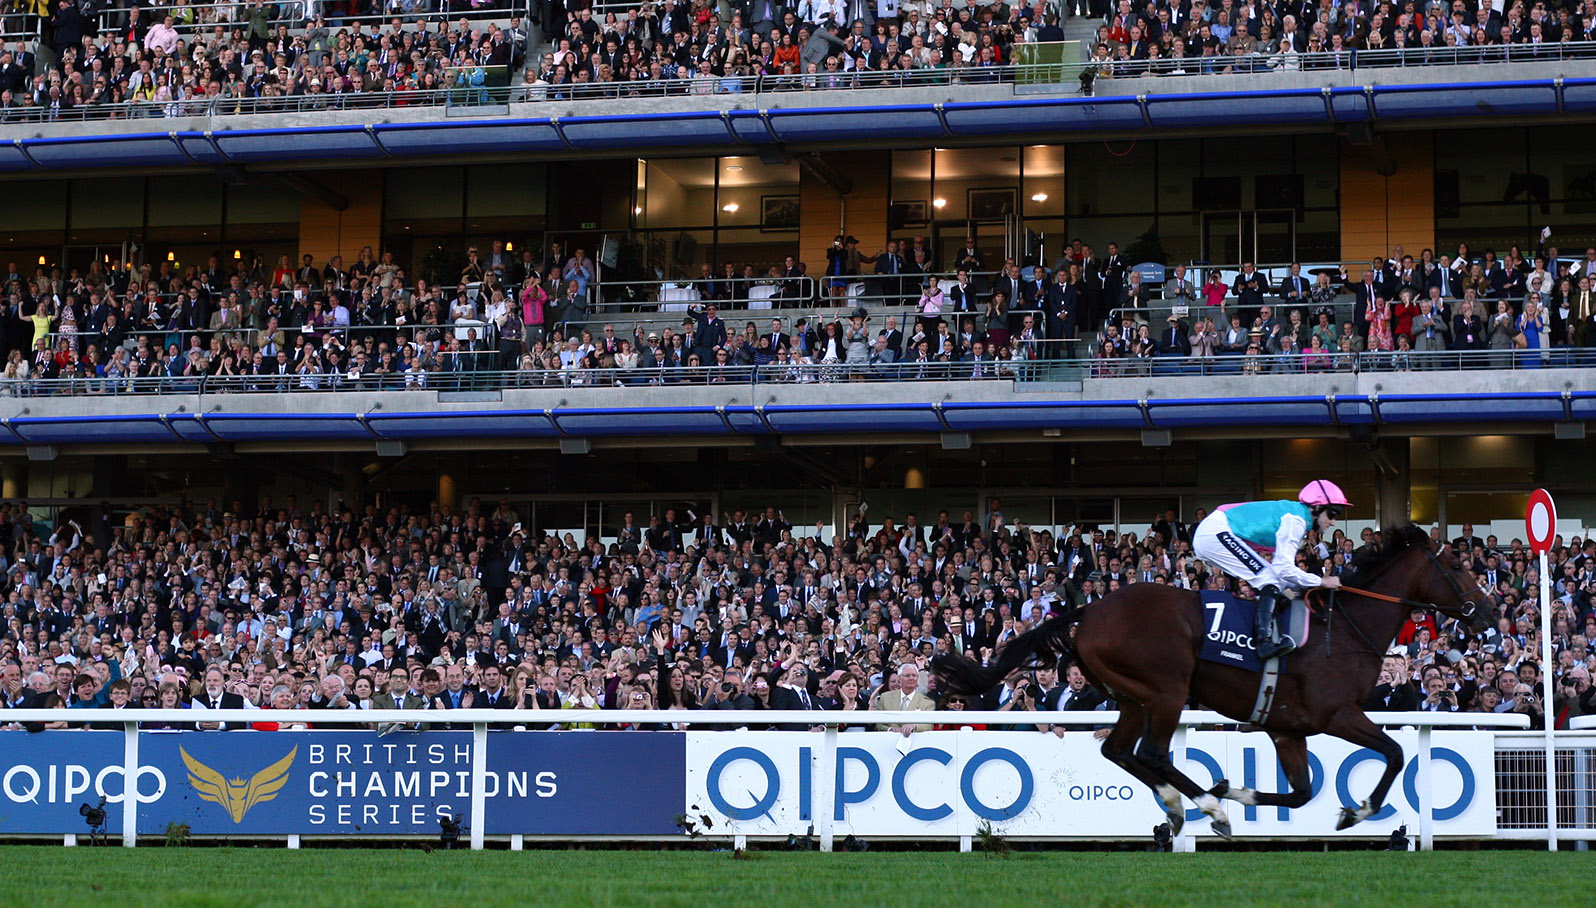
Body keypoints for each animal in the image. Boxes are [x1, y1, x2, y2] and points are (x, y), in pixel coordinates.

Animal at [932, 523, 1493, 836]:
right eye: (1457, 567)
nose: (1485, 611)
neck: (1345, 627)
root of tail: (1088, 611)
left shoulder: (1288, 728)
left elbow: (1301, 793)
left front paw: (1238, 790)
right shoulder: (1337, 714)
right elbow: (1394, 754)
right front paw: (1358, 812)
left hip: (1134, 696)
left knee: (1119, 751)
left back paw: (1184, 805)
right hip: (1167, 690)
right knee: (1152, 753)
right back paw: (1206, 807)